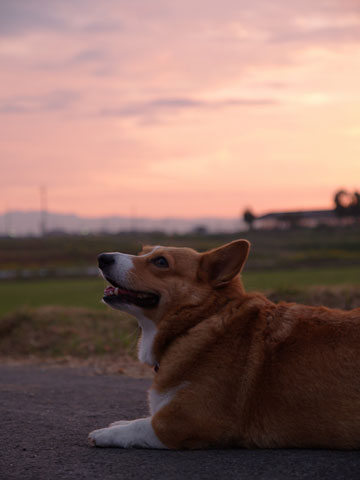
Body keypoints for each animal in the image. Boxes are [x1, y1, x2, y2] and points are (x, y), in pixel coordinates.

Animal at [88, 240, 360, 450]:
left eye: (161, 262)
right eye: (142, 251)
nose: (102, 258)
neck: (199, 320)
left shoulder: (180, 422)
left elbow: (140, 426)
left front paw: (104, 433)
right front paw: (118, 423)